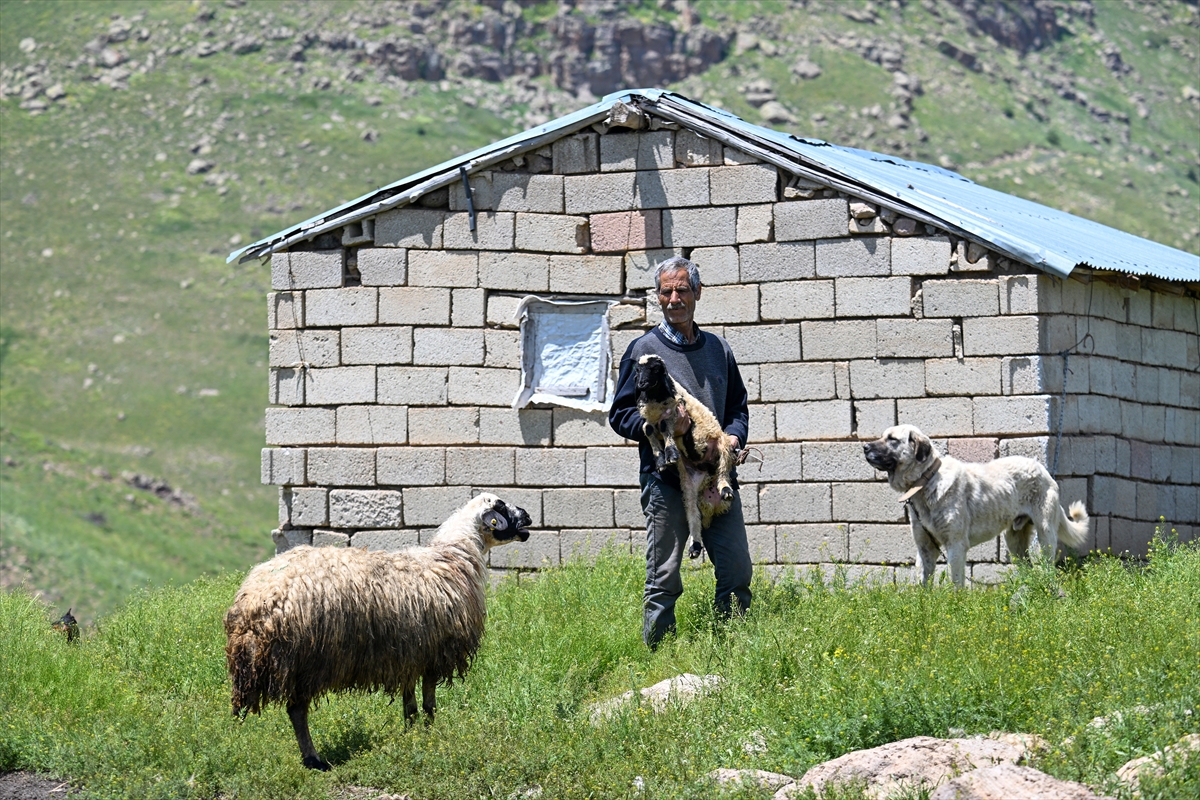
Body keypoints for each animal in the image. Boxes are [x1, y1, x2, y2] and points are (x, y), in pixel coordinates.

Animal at [224, 491, 530, 772]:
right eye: (501, 506)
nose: (527, 516)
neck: (453, 556)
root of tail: (253, 603)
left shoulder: (409, 654)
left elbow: (410, 702)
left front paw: (411, 732)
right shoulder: (436, 651)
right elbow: (429, 702)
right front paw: (430, 733)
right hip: (305, 661)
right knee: (297, 711)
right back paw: (314, 760)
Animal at [633, 352, 734, 561]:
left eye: (655, 369)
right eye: (637, 370)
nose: (641, 384)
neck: (654, 397)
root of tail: (708, 474)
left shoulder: (675, 410)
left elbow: (665, 428)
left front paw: (671, 453)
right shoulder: (648, 419)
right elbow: (648, 430)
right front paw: (660, 460)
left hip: (723, 444)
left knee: (724, 471)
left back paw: (726, 490)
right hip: (688, 485)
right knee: (693, 513)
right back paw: (695, 546)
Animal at [864, 424, 1089, 587]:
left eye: (892, 439)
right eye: (882, 436)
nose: (865, 447)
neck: (928, 480)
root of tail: (1042, 469)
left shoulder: (955, 546)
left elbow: (956, 585)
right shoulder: (925, 549)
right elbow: (922, 585)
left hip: (1045, 534)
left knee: (1047, 566)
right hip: (1014, 540)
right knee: (1028, 568)